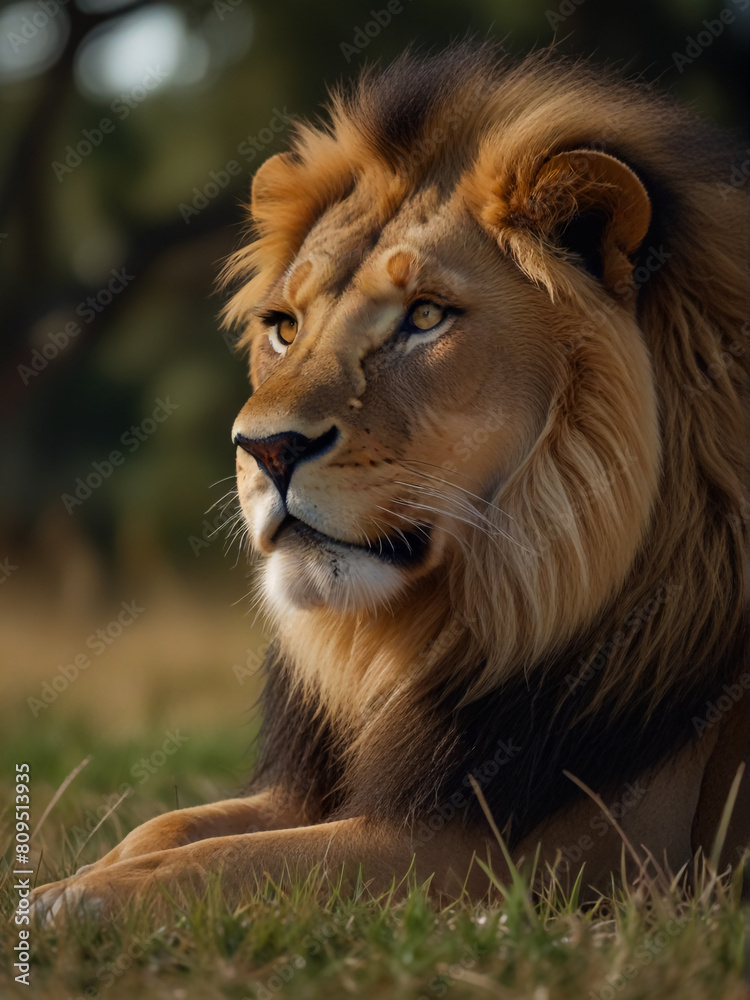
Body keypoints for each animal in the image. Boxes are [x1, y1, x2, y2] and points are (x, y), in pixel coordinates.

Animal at [32, 43, 748, 919]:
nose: (265, 450)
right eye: (285, 327)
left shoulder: (535, 858)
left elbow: (226, 862)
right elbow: (165, 828)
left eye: (426, 317)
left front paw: (69, 903)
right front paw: (76, 876)